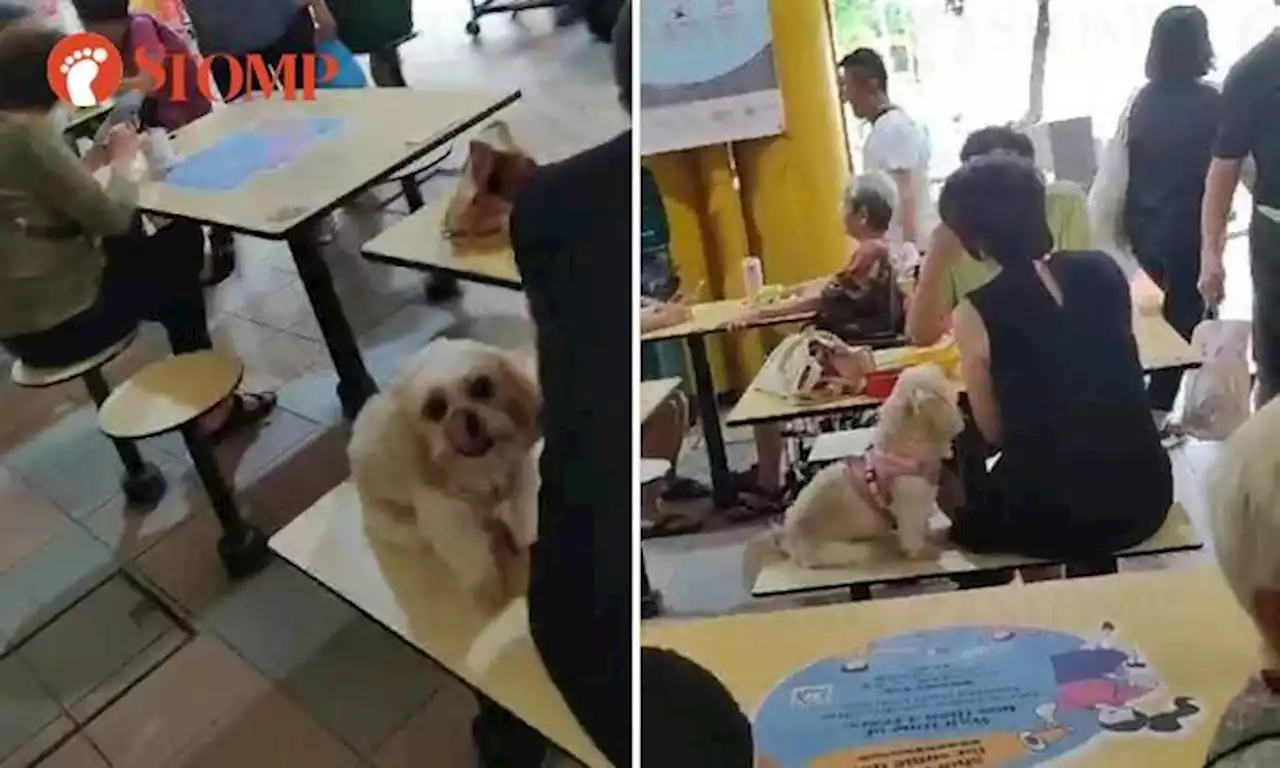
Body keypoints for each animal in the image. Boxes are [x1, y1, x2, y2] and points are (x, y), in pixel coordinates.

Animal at [353, 337, 542, 609]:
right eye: (434, 409)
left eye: (482, 386)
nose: (467, 416)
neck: (481, 467)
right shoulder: (447, 516)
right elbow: (474, 554)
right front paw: (489, 590)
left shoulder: (521, 483)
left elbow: (524, 523)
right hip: (403, 527)